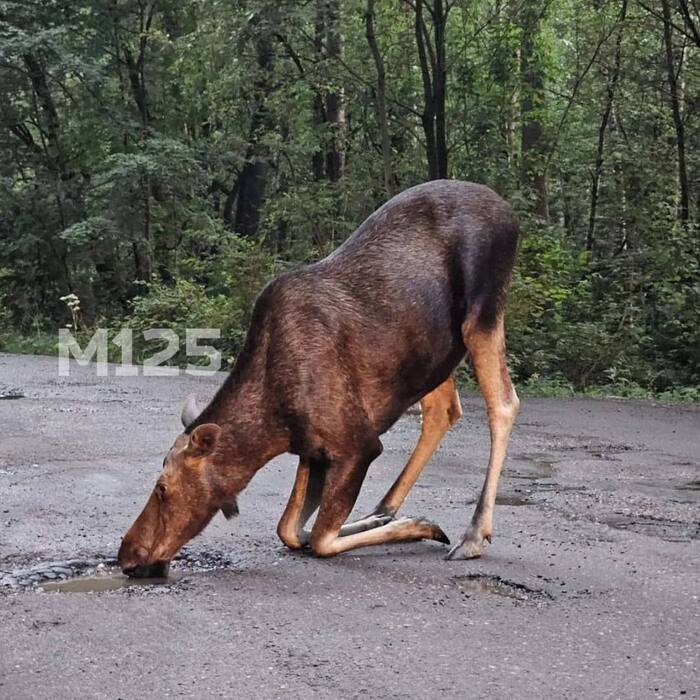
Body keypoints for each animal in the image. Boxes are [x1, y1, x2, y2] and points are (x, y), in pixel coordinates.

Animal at [117, 178, 520, 576]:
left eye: (162, 488)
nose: (126, 555)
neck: (274, 426)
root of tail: (508, 212)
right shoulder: (313, 449)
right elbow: (290, 528)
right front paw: (390, 522)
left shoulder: (358, 444)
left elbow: (322, 538)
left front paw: (415, 526)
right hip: (433, 353)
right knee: (443, 409)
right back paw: (384, 509)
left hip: (482, 314)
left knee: (503, 402)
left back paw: (473, 534)